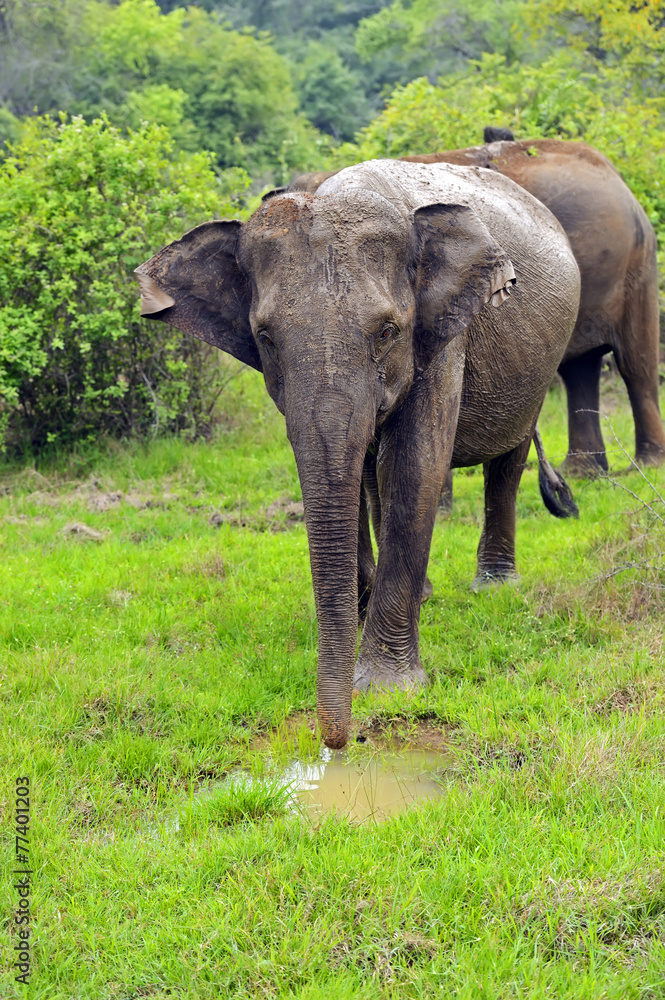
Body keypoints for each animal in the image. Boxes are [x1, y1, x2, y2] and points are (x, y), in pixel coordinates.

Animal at [136, 158, 580, 749]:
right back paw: (425, 594)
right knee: (372, 475)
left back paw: (494, 587)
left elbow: (416, 463)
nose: (338, 740)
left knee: (506, 457)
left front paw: (388, 688)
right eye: (265, 337)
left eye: (388, 330)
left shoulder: (440, 332)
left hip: (538, 364)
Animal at [288, 139, 665, 475]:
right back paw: (582, 473)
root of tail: (614, 174)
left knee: (635, 363)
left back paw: (645, 465)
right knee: (580, 368)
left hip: (636, 264)